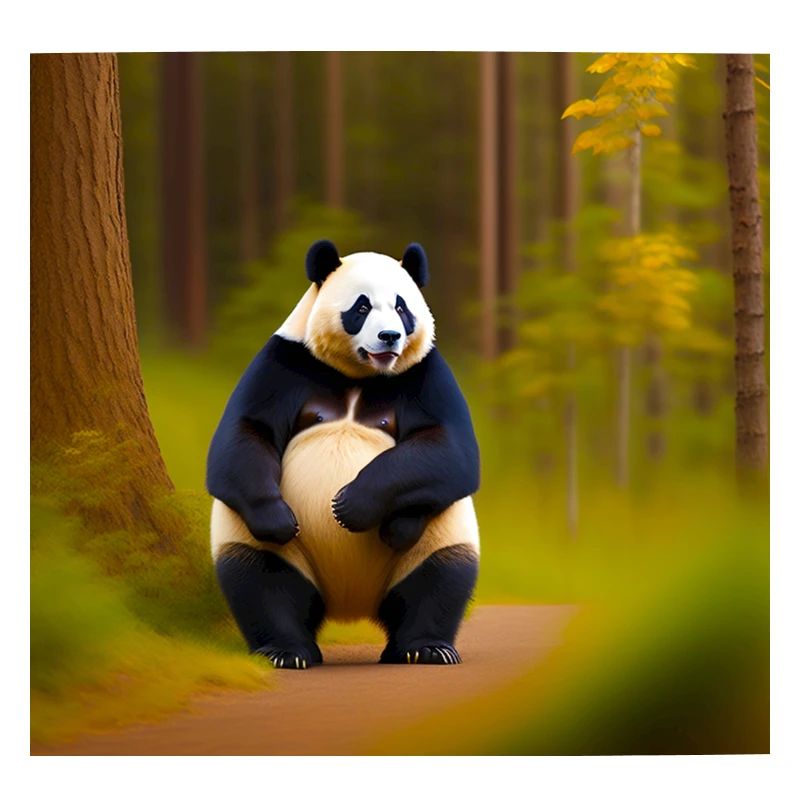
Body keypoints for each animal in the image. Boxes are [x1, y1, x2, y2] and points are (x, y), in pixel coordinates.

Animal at [207, 240, 480, 668]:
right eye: (361, 307)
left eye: (402, 307)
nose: (389, 336)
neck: (360, 374)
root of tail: (349, 604)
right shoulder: (283, 363)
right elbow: (245, 433)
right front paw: (281, 519)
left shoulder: (427, 373)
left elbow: (452, 451)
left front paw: (350, 507)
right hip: (261, 544)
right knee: (261, 579)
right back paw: (287, 651)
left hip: (439, 539)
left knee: (440, 578)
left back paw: (423, 648)